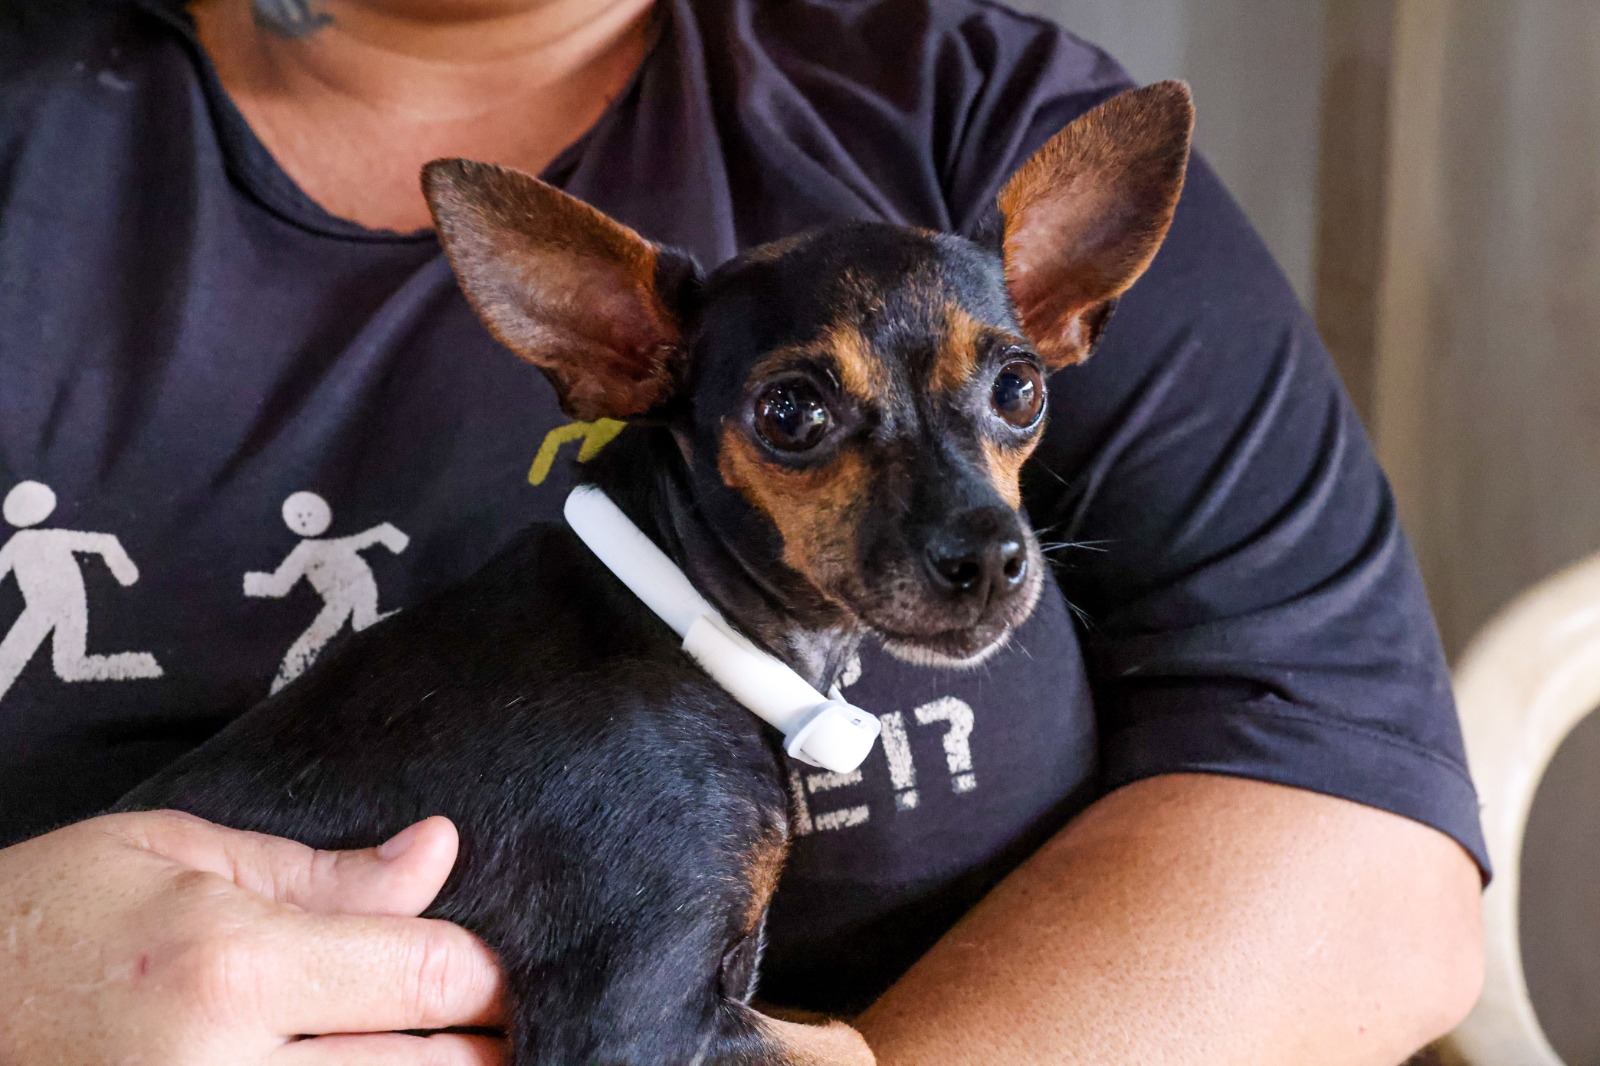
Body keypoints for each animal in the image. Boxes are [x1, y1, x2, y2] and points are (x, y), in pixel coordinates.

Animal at [118, 80, 1196, 1056]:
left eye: (1020, 389)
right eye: (790, 414)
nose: (990, 557)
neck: (685, 620)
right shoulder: (636, 1018)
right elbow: (846, 1040)